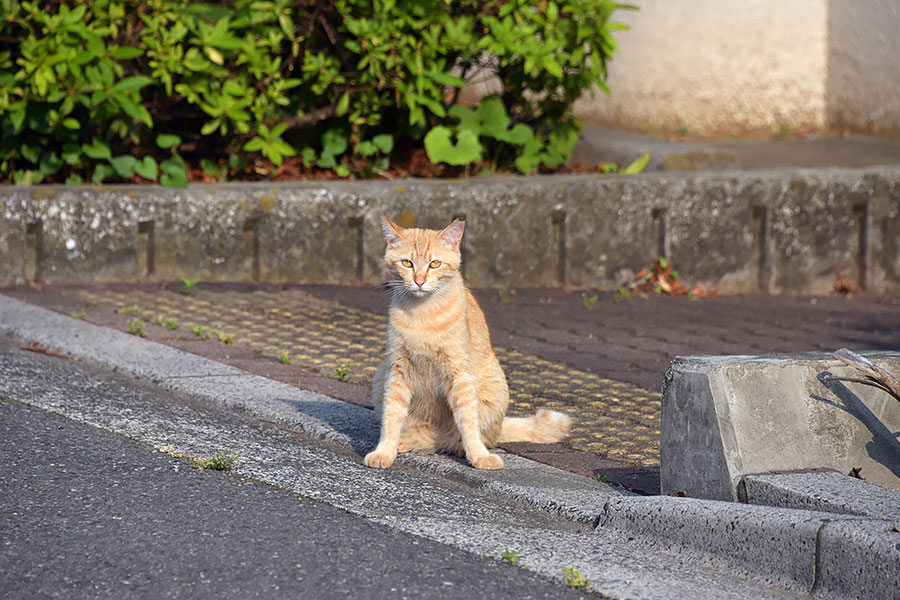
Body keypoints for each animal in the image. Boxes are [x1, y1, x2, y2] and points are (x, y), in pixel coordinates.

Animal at [364, 213, 568, 472]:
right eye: (407, 263)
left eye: (435, 264)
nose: (419, 281)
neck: (422, 316)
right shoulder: (398, 370)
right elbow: (391, 416)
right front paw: (385, 450)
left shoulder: (459, 373)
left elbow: (468, 420)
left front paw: (478, 455)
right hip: (381, 374)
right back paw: (409, 440)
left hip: (493, 387)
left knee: (464, 437)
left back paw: (460, 446)